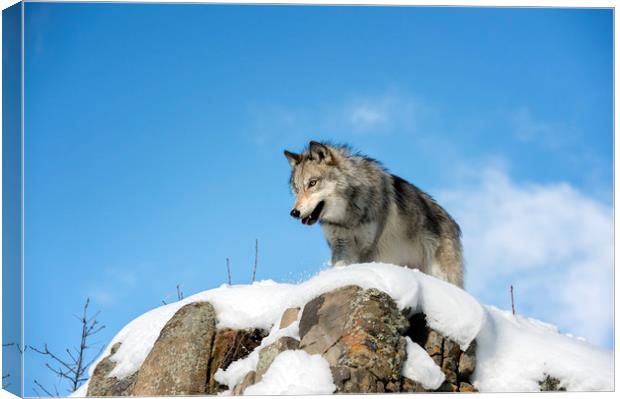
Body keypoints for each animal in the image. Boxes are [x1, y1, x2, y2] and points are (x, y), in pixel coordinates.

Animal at [284, 142, 462, 290]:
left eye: (312, 183)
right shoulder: (342, 245)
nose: (294, 213)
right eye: (296, 189)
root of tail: (453, 223)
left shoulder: (368, 248)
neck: (347, 216)